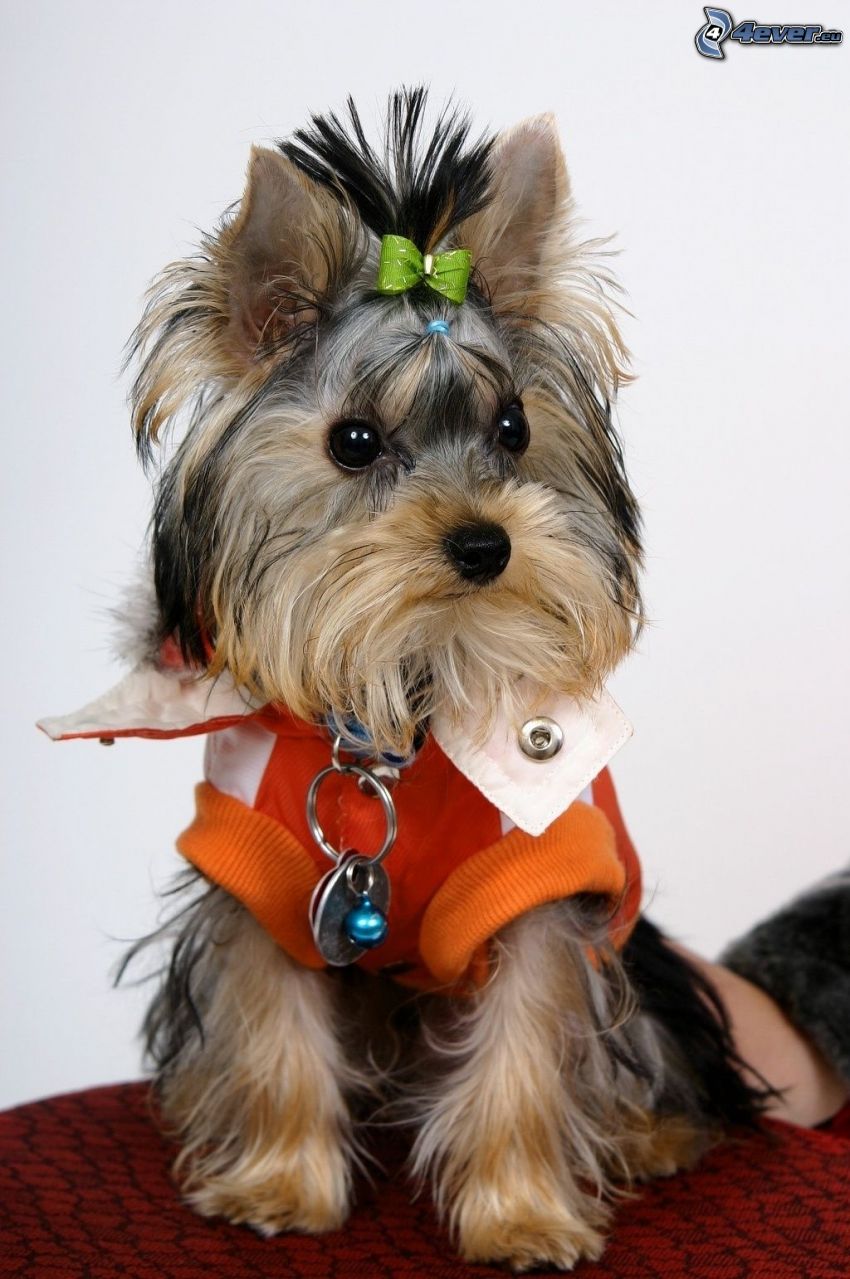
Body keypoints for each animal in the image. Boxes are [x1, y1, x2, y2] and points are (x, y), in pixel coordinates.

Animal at [41, 90, 761, 1268]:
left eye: (513, 427)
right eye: (353, 440)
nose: (484, 543)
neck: (402, 700)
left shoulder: (542, 884)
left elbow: (527, 1042)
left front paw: (520, 1213)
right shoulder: (261, 877)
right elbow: (271, 1025)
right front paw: (279, 1185)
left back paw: (647, 1132)